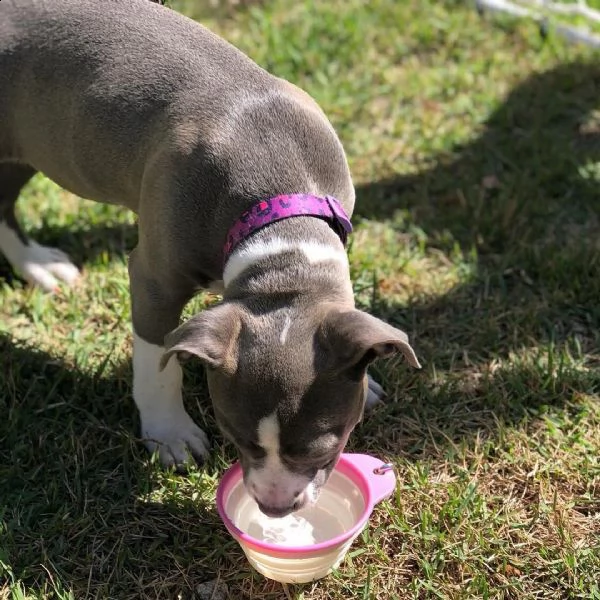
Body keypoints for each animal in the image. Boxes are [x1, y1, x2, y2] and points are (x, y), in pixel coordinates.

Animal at [1, 0, 422, 516]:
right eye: (235, 436)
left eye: (326, 449)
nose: (274, 508)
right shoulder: (155, 281)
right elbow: (157, 359)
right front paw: (169, 432)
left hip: (25, 149)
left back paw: (33, 263)